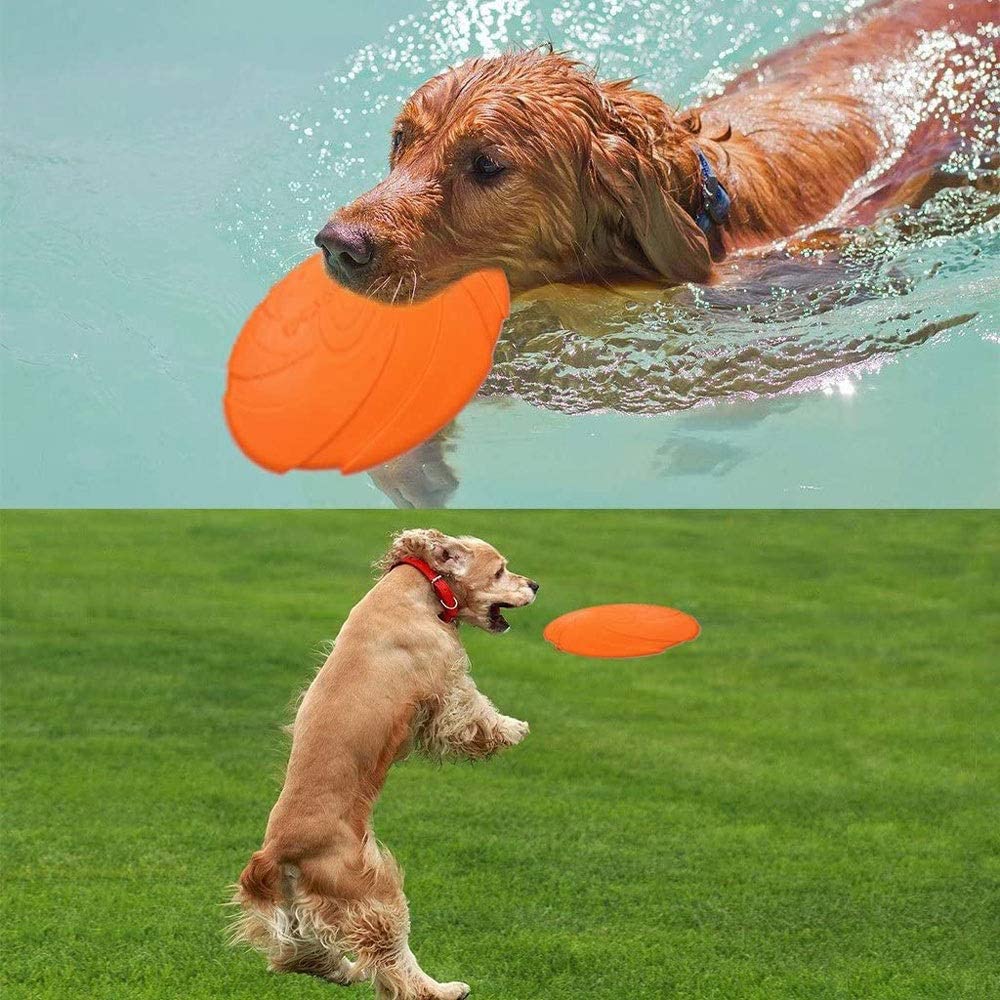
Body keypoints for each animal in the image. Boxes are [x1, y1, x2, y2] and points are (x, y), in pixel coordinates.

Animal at [230, 528, 540, 996]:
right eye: (501, 570)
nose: (535, 584)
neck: (421, 584)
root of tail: (275, 852)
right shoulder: (446, 681)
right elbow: (473, 712)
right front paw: (513, 728)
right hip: (369, 888)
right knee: (393, 960)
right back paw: (445, 989)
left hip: (301, 906)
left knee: (300, 952)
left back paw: (343, 971)